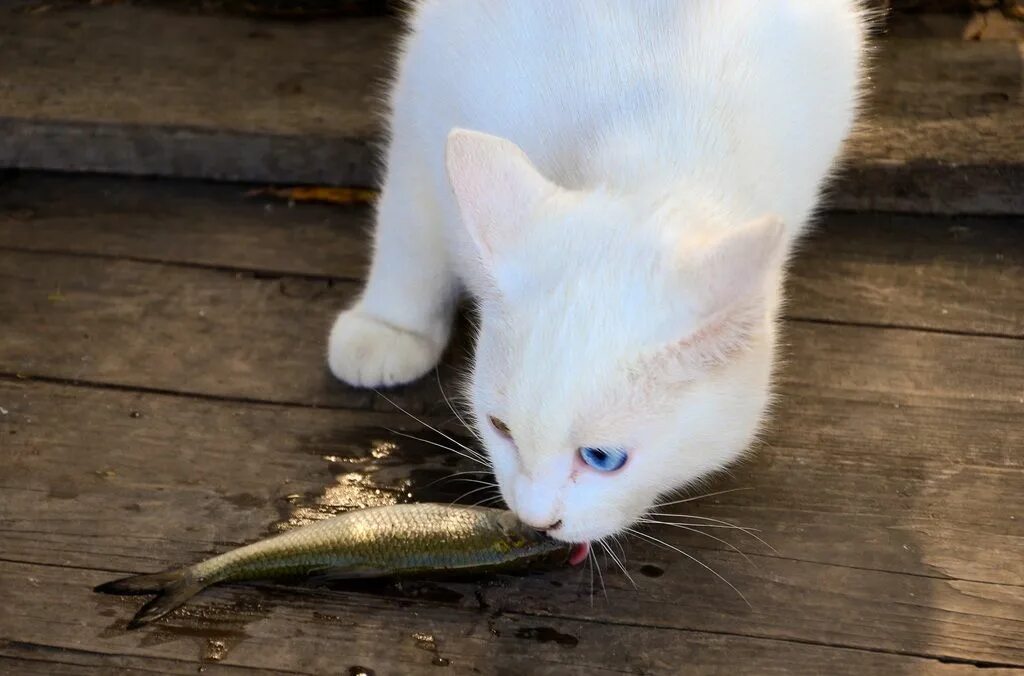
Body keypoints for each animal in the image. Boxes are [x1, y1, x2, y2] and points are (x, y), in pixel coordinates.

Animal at [325, 0, 864, 553]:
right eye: (500, 427)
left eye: (603, 459)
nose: (537, 518)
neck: (650, 135)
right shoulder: (429, 78)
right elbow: (409, 220)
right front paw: (391, 325)